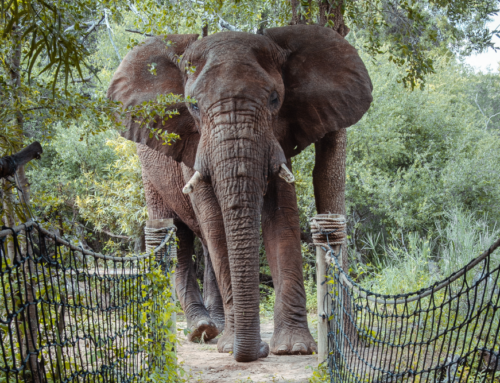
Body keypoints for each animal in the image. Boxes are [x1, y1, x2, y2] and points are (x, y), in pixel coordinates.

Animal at [107, 24, 374, 364]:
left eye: (274, 99)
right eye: (193, 106)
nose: (259, 349)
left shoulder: (277, 136)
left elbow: (281, 217)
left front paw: (293, 348)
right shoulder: (191, 145)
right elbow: (215, 223)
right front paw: (231, 347)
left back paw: (216, 329)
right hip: (149, 171)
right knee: (177, 235)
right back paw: (203, 330)